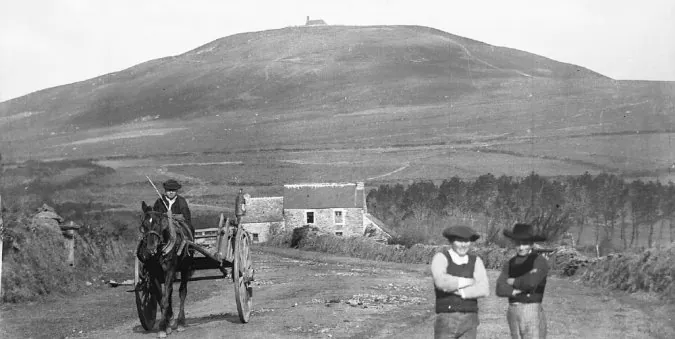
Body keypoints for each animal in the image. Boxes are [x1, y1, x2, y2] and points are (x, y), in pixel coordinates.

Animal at [138, 202, 195, 338]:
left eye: (159, 223)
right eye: (144, 225)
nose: (150, 249)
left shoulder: (169, 271)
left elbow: (165, 298)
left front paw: (162, 328)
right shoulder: (153, 274)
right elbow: (161, 297)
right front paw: (167, 324)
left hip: (185, 268)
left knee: (182, 292)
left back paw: (181, 322)